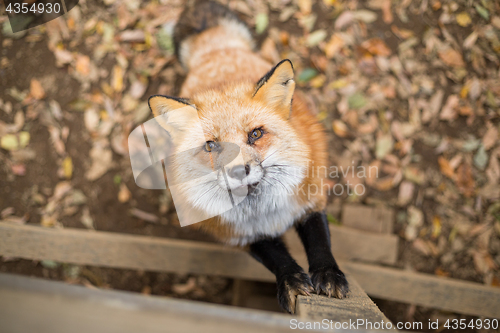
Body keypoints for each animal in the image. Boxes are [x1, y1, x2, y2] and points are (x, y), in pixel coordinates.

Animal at [148, 0, 348, 312]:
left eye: (255, 134)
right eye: (210, 146)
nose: (238, 170)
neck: (263, 212)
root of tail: (217, 50)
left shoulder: (310, 201)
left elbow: (319, 240)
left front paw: (328, 273)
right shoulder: (241, 236)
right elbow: (276, 258)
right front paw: (290, 281)